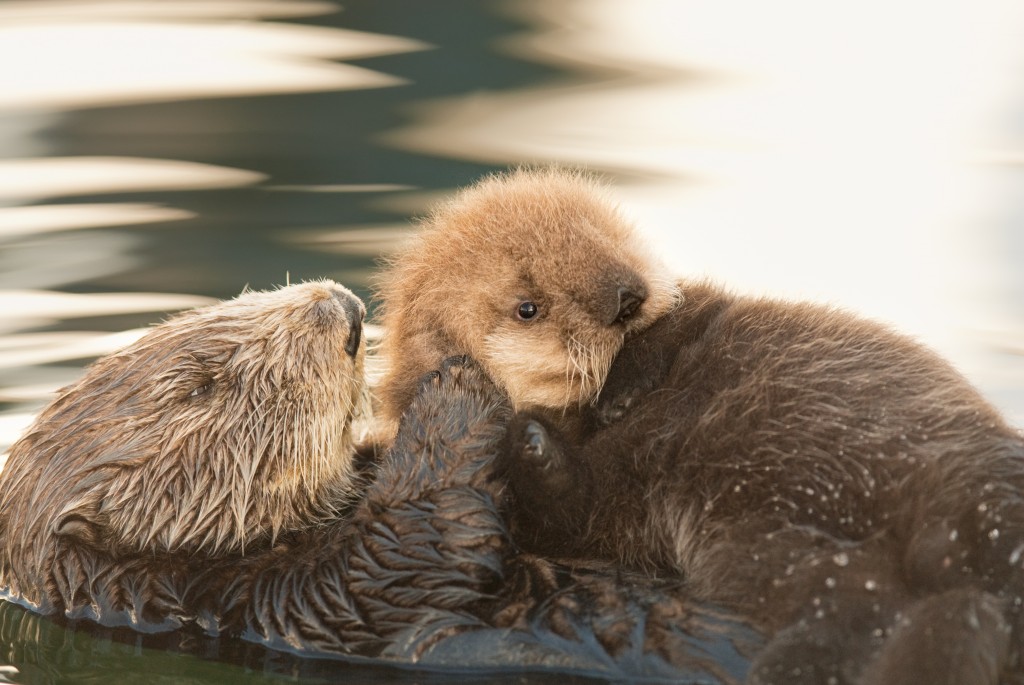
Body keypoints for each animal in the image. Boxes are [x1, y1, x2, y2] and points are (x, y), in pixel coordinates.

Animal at [502, 280, 1024, 684]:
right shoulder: (606, 513)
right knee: (863, 614)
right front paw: (536, 434)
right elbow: (566, 515)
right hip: (801, 567)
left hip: (966, 480)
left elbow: (678, 319)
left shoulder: (693, 308)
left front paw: (614, 396)